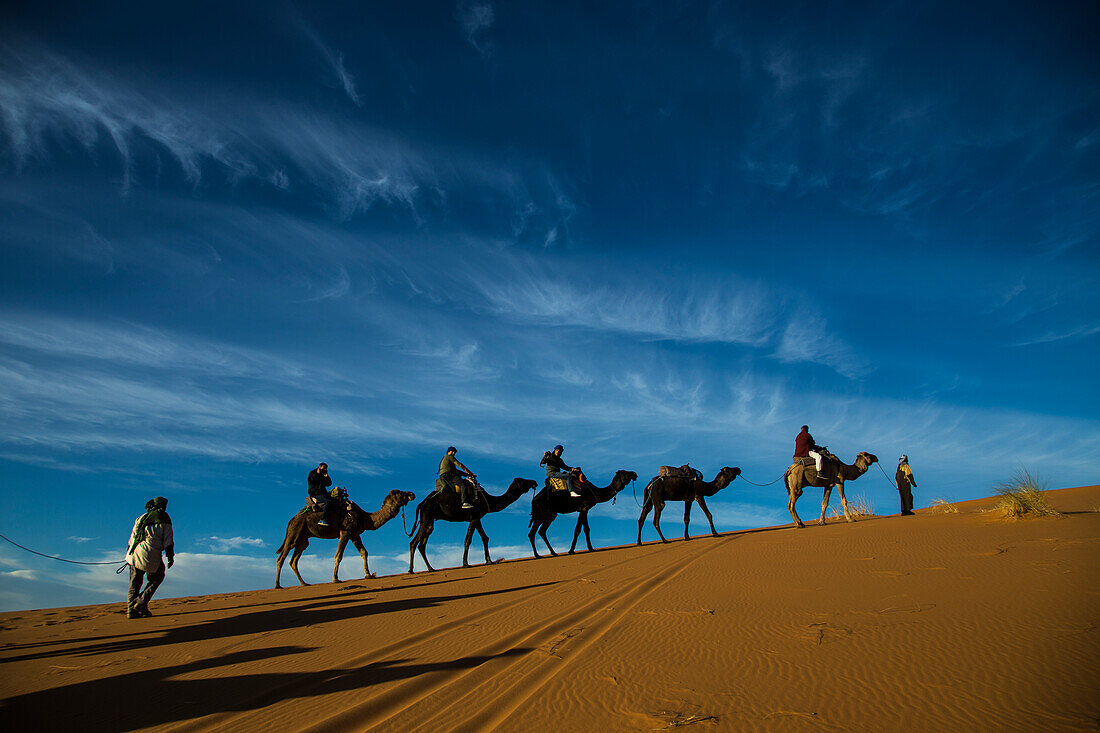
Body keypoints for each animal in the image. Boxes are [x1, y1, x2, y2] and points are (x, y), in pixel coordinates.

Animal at [272, 484, 413, 589]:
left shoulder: (355, 534)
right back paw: (278, 585)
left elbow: (364, 552)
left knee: (294, 560)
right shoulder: (345, 532)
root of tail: (291, 520)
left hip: (303, 540)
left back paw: (304, 583)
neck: (365, 518)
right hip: (294, 533)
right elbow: (338, 556)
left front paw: (368, 575)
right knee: (281, 558)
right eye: (400, 492)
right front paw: (335, 579)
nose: (412, 494)